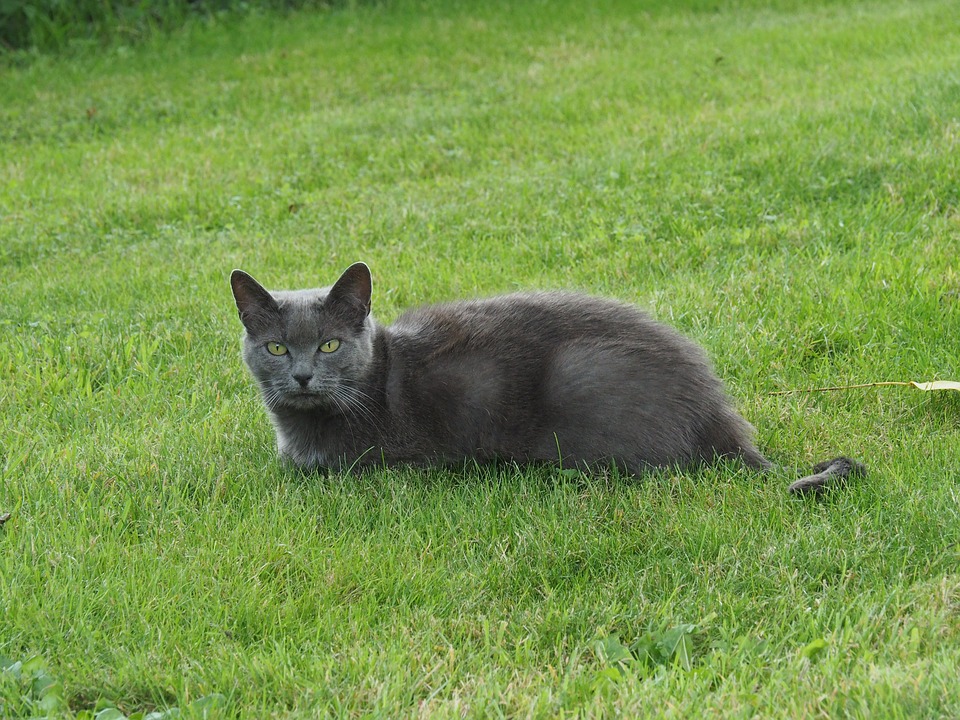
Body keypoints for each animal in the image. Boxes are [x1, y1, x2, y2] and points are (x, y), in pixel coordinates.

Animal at [231, 262, 864, 496]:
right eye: (277, 347)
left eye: (330, 344)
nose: (303, 375)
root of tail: (717, 413)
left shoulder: (399, 461)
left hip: (583, 380)